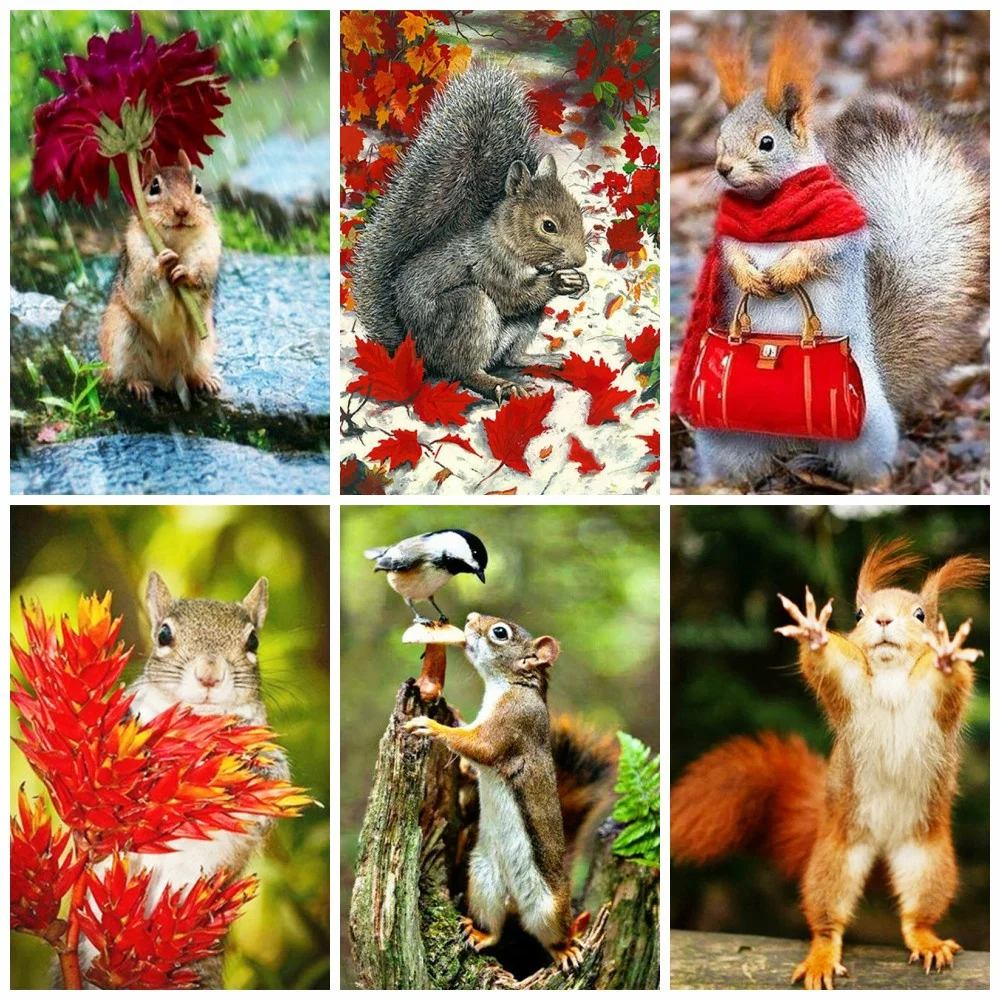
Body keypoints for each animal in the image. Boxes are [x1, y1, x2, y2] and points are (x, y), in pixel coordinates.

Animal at [98, 150, 222, 410]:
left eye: (198, 187)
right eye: (154, 187)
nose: (182, 210)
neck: (174, 241)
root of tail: (166, 379)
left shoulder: (208, 250)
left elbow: (202, 276)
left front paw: (184, 273)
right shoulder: (136, 254)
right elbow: (144, 279)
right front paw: (163, 261)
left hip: (203, 347)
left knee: (192, 374)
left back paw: (206, 380)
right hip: (121, 336)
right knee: (125, 375)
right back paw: (138, 385)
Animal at [352, 63, 590, 403]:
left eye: (578, 210)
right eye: (548, 226)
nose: (580, 260)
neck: (507, 240)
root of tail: (417, 354)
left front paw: (578, 281)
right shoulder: (489, 266)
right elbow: (513, 296)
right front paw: (561, 281)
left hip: (524, 323)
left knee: (510, 358)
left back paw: (543, 359)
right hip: (469, 310)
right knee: (465, 371)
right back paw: (500, 386)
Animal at [404, 612, 617, 972]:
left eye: (500, 633)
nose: (470, 618)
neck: (509, 685)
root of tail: (514, 900)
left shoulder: (511, 725)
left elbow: (479, 747)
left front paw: (431, 726)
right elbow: (472, 758)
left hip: (548, 908)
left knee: (552, 935)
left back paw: (566, 949)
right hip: (482, 880)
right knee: (495, 928)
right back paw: (479, 933)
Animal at [670, 539, 988, 990]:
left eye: (920, 615)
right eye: (859, 614)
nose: (883, 619)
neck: (891, 676)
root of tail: (883, 844)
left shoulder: (938, 703)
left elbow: (950, 681)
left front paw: (946, 654)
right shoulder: (851, 689)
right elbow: (829, 667)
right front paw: (814, 634)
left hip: (928, 859)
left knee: (916, 915)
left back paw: (926, 939)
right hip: (835, 858)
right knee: (827, 919)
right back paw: (822, 953)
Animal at [674, 15, 988, 485]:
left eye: (767, 142)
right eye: (719, 138)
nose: (723, 168)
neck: (767, 207)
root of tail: (794, 443)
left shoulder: (842, 230)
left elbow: (823, 251)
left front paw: (786, 272)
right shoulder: (730, 236)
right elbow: (732, 255)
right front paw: (751, 275)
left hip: (865, 428)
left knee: (866, 465)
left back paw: (869, 484)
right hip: (724, 437)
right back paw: (722, 488)